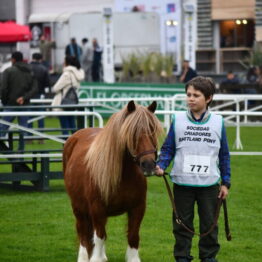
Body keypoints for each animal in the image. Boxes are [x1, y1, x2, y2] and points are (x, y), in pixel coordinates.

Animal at [62, 101, 163, 262]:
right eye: (132, 133)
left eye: (152, 130)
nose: (148, 165)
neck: (124, 175)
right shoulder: (97, 209)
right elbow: (100, 236)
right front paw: (96, 258)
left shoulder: (138, 208)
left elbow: (133, 236)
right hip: (78, 206)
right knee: (83, 232)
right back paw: (83, 257)